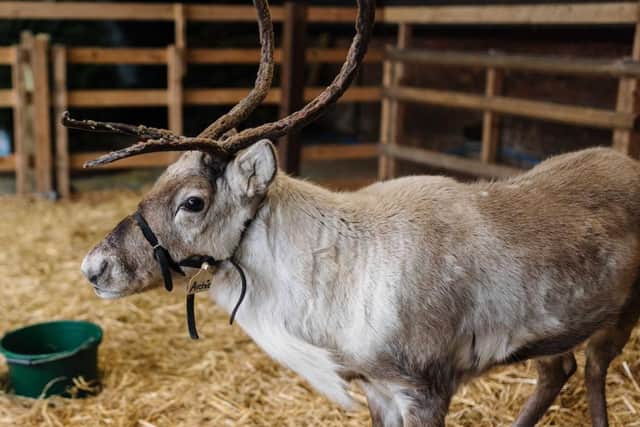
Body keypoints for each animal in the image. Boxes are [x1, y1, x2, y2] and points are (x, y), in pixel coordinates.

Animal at [67, 1, 640, 426]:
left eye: (193, 201)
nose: (94, 266)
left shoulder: (427, 387)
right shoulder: (377, 388)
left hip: (622, 310)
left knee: (592, 366)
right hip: (559, 326)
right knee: (560, 368)